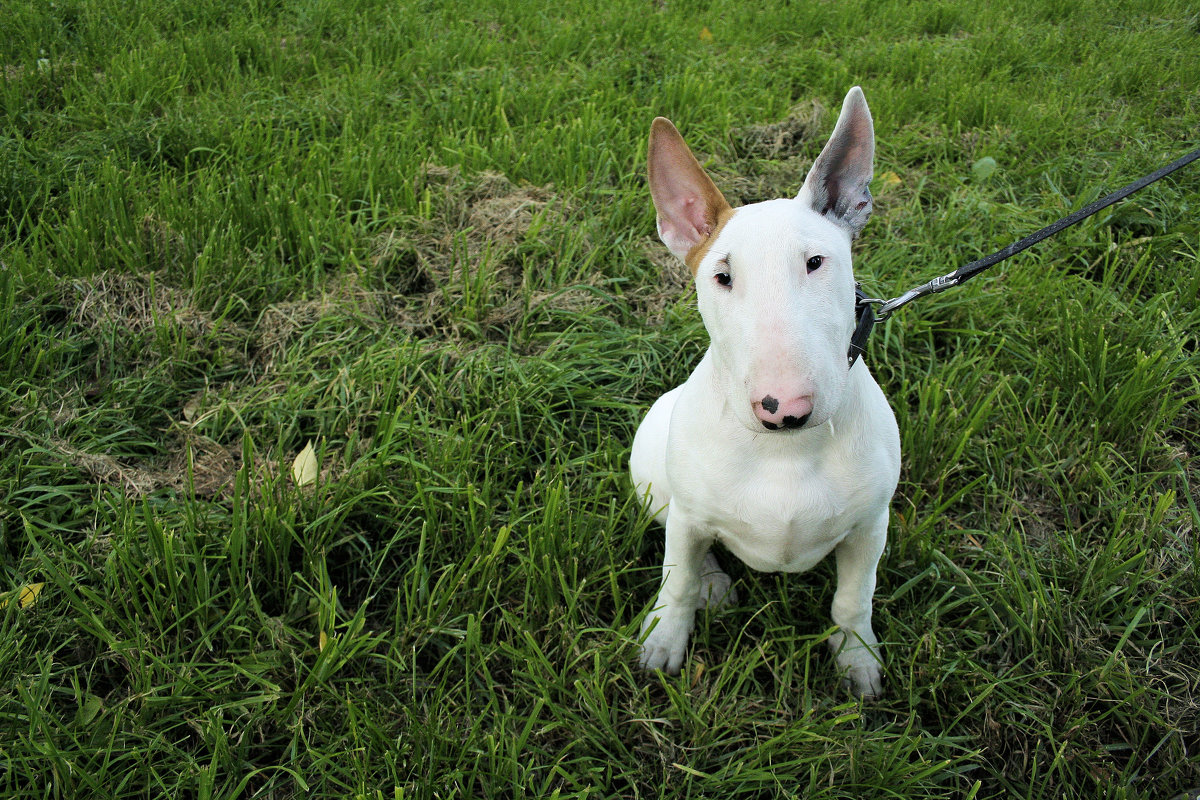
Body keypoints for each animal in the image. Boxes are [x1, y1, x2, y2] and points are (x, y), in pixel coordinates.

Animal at [633, 87, 897, 695]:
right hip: (652, 477)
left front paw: (857, 659)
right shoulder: (688, 517)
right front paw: (663, 642)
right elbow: (676, 577)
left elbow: (854, 597)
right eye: (722, 276)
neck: (786, 450)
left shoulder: (871, 526)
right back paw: (712, 586)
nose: (784, 409)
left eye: (817, 262)